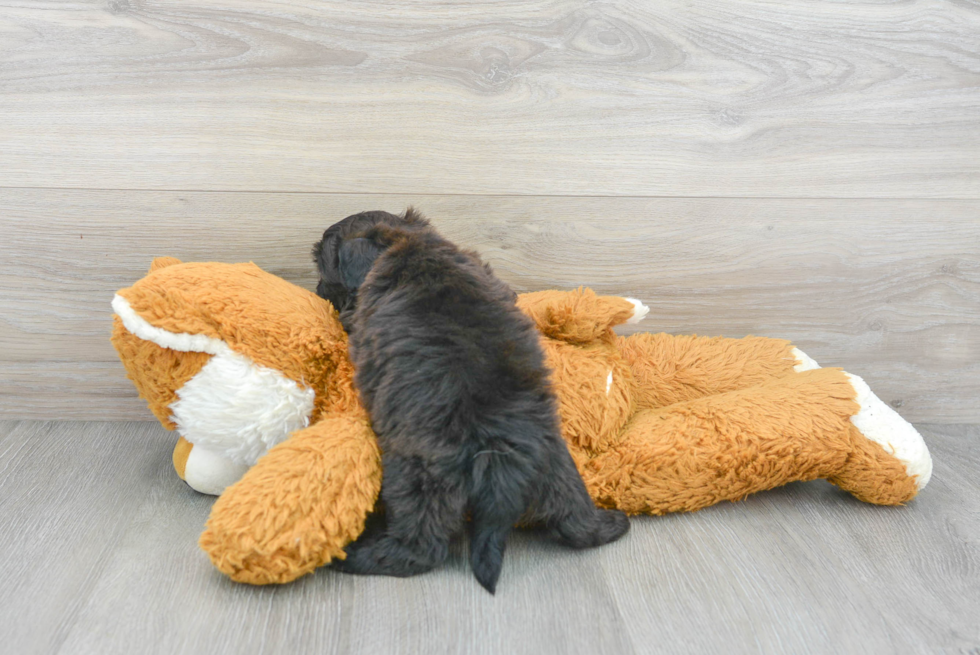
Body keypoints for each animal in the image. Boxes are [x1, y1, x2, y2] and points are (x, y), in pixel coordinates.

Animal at [318, 210, 632, 596]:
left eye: (322, 265)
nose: (316, 291)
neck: (407, 242)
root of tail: (501, 457)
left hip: (418, 480)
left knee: (421, 547)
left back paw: (356, 554)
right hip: (559, 468)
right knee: (575, 521)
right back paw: (611, 524)